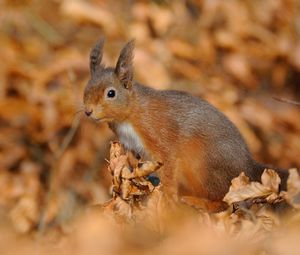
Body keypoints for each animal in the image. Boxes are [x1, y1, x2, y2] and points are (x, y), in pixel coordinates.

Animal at [82, 39, 288, 207]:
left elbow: (169, 163)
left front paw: (168, 196)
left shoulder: (158, 133)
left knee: (223, 199)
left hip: (203, 165)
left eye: (111, 93)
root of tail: (247, 166)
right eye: (86, 88)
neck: (128, 117)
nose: (88, 111)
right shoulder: (130, 146)